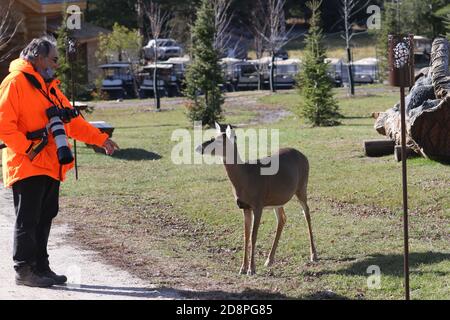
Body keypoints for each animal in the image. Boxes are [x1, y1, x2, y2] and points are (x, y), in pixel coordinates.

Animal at [195, 122, 318, 276]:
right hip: (278, 199)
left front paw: (251, 269)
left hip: (302, 186)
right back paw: (269, 260)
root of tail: (304, 156)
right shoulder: (245, 207)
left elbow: (253, 236)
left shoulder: (258, 204)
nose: (198, 147)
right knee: (282, 218)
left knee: (306, 213)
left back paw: (313, 255)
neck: (245, 177)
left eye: (217, 140)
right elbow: (246, 235)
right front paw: (242, 268)